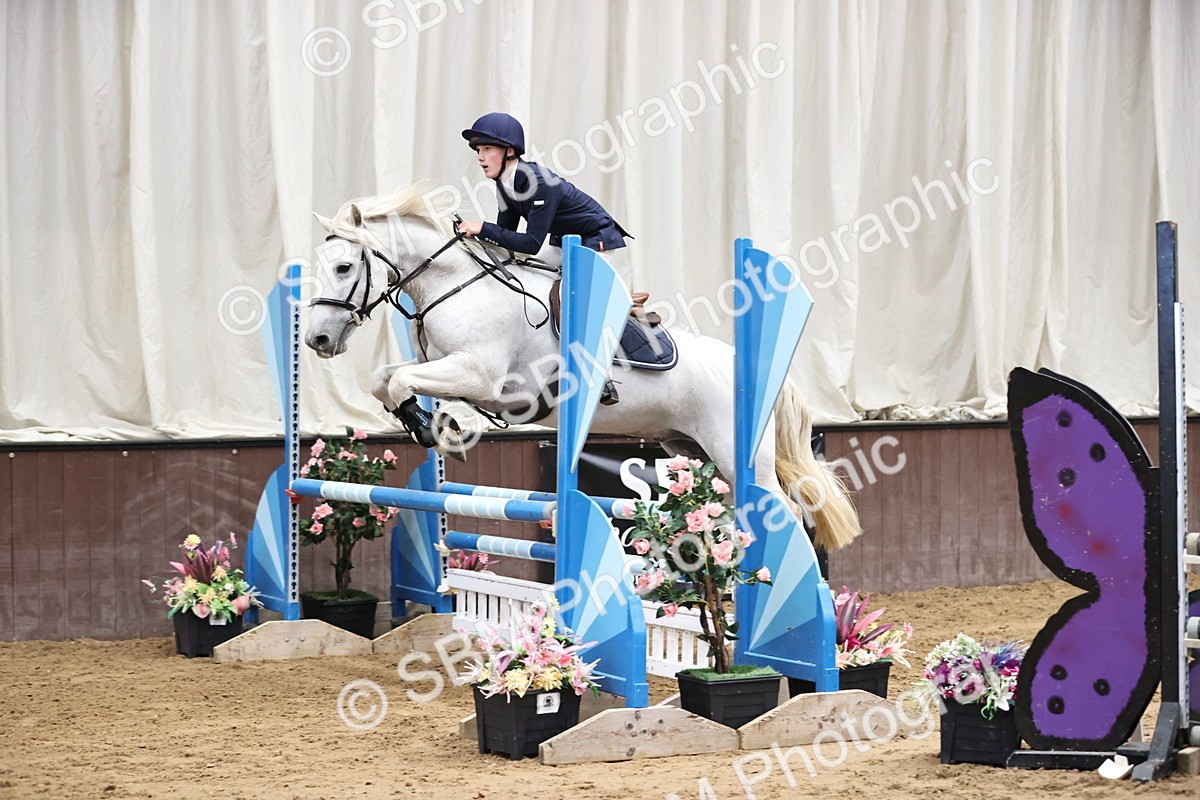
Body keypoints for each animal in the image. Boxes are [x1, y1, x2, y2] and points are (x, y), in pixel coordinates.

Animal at [304, 183, 861, 552]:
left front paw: (440, 431)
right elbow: (386, 379)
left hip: (740, 454)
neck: (454, 283)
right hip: (690, 449)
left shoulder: (482, 376)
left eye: (345, 267)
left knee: (784, 513)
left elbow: (399, 379)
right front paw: (439, 427)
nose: (317, 339)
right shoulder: (448, 368)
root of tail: (758, 369)